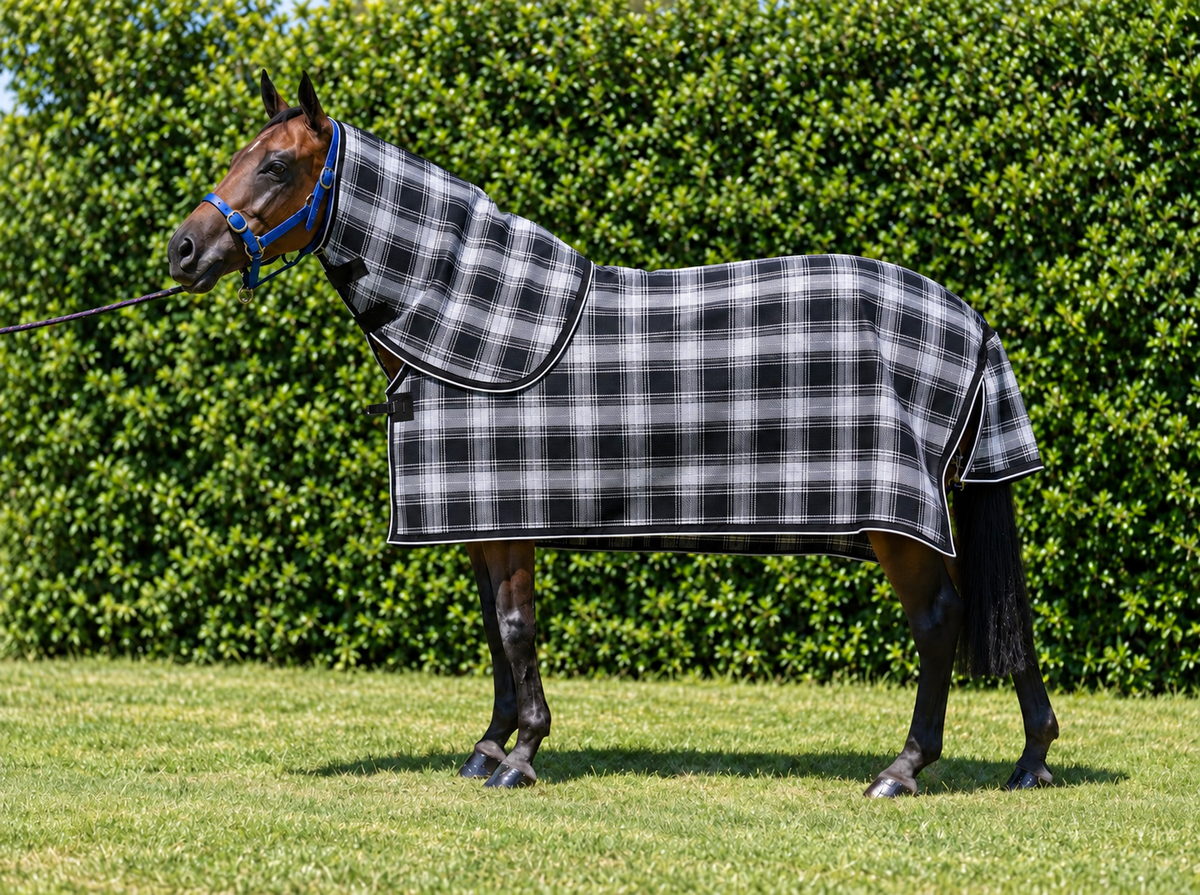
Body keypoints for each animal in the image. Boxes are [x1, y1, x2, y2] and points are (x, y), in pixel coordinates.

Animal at [168, 72, 1059, 794]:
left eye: (276, 165)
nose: (182, 250)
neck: (469, 317)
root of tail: (973, 323)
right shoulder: (482, 522)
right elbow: (494, 629)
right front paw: (489, 746)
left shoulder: (510, 518)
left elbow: (517, 627)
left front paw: (522, 755)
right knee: (999, 610)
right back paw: (1033, 757)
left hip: (897, 524)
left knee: (939, 621)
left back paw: (903, 768)